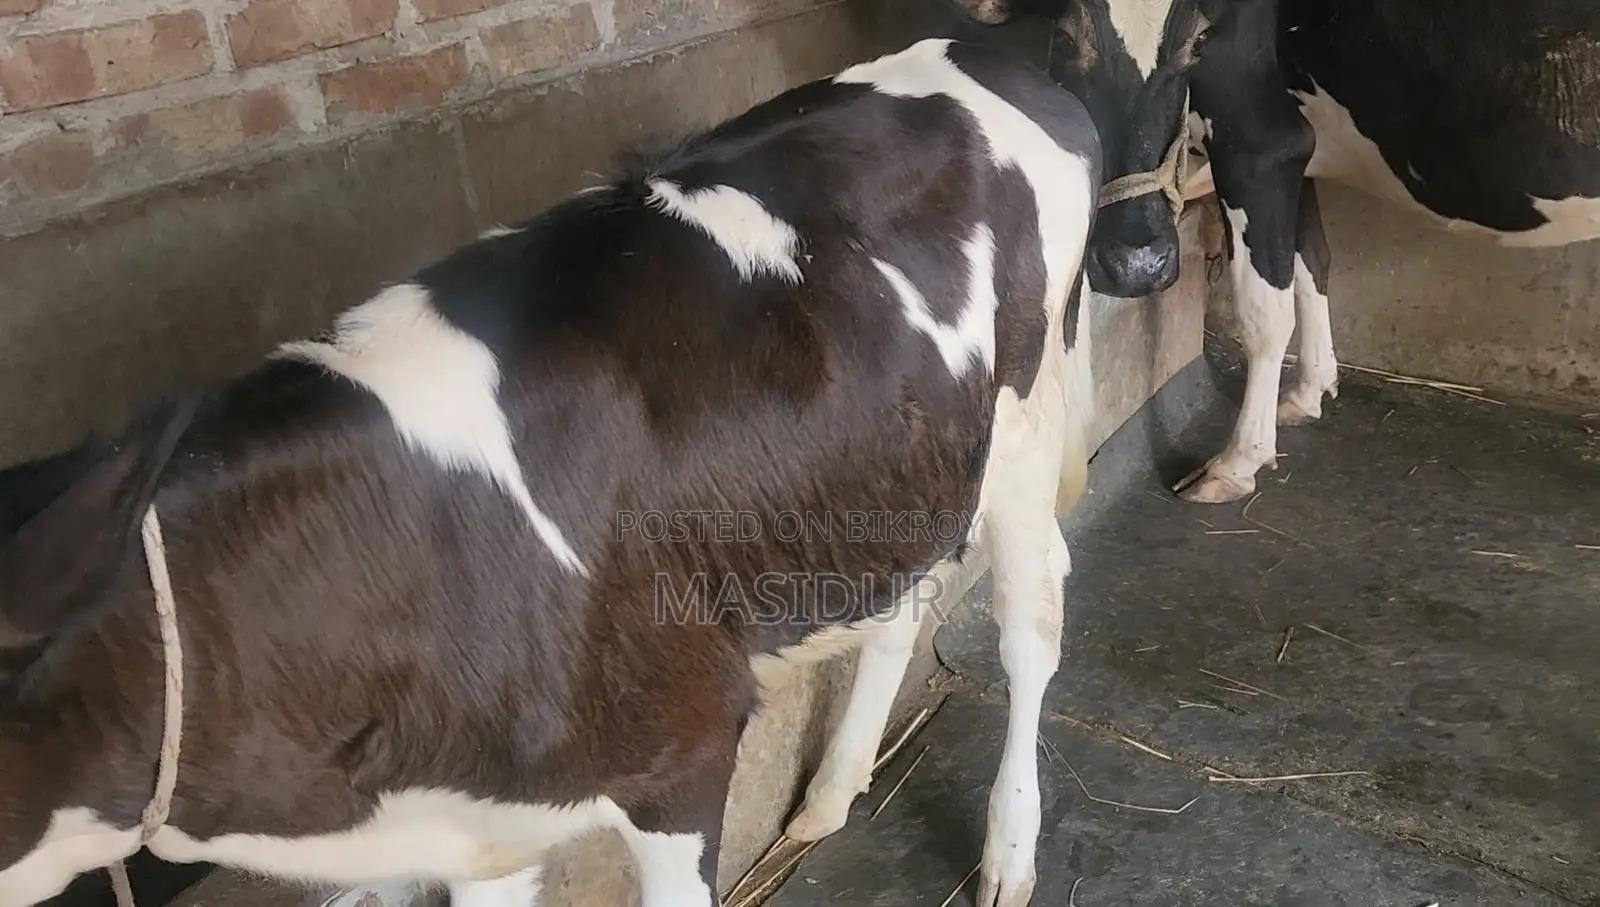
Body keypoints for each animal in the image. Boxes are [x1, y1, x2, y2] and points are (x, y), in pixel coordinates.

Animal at [0, 37, 1100, 907]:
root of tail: (989, 59)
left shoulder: (685, 746)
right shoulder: (481, 831)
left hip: (1026, 417)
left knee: (1034, 617)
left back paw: (1008, 852)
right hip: (898, 464)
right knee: (903, 597)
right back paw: (830, 795)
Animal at [951, 0, 1600, 504]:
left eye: (1195, 44)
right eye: (1065, 37)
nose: (1137, 264)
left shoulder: (1260, 146)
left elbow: (1267, 312)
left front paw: (1239, 461)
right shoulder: (1298, 153)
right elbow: (1312, 263)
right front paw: (1309, 390)